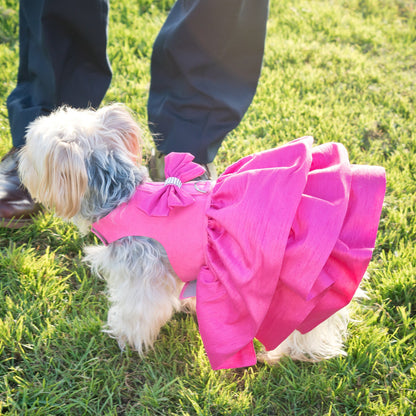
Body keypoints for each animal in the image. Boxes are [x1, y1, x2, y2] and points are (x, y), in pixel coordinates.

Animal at [18, 105, 368, 368]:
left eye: (31, 148)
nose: (18, 158)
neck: (121, 197)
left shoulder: (140, 277)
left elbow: (136, 311)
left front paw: (126, 338)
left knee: (311, 322)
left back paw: (299, 352)